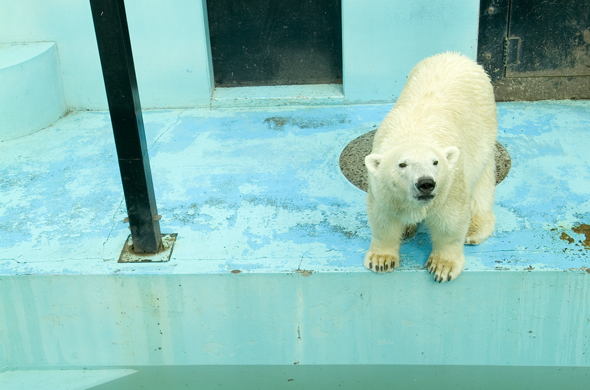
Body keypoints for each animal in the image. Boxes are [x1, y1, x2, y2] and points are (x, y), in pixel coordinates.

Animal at [366, 52, 500, 284]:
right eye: (402, 164)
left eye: (435, 162)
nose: (426, 183)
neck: (413, 132)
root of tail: (459, 56)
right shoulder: (383, 188)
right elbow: (384, 218)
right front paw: (381, 260)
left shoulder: (450, 185)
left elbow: (450, 222)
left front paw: (442, 267)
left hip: (484, 133)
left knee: (481, 187)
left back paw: (474, 230)